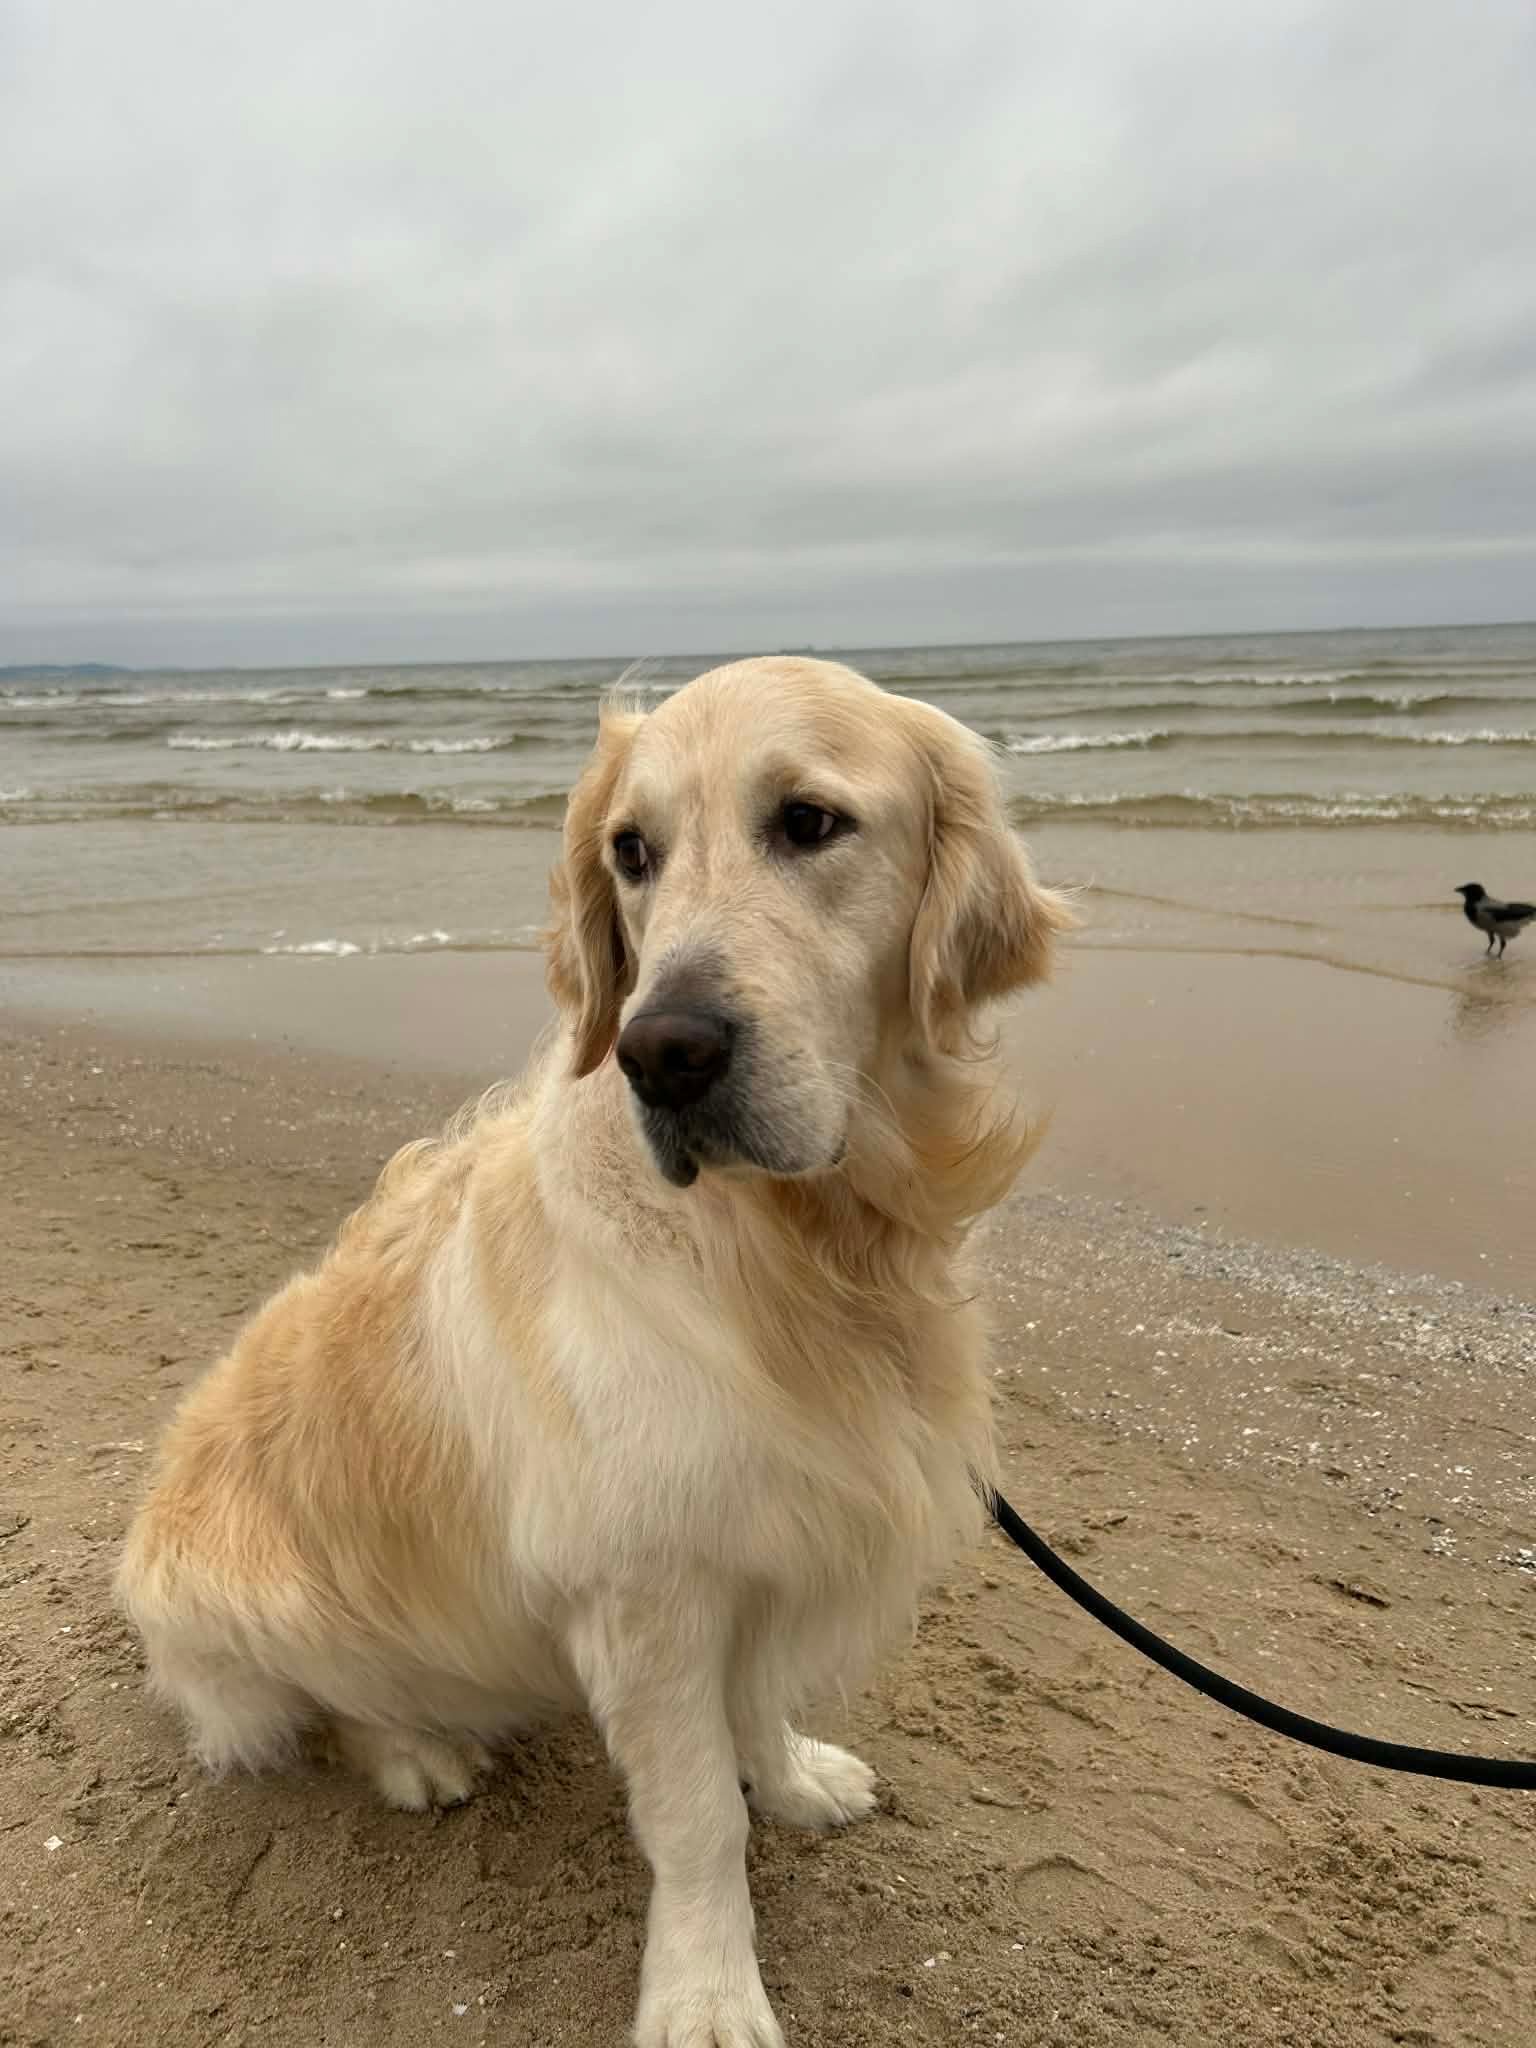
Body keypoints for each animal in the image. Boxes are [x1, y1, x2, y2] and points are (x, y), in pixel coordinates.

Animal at [116, 656, 1072, 2047]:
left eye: (810, 822)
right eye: (632, 850)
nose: (662, 1052)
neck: (800, 1247)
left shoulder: (765, 1540)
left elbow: (759, 1705)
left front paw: (793, 1777)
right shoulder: (647, 1587)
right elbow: (698, 1817)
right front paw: (708, 1993)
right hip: (248, 1594)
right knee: (329, 1701)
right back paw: (415, 1752)